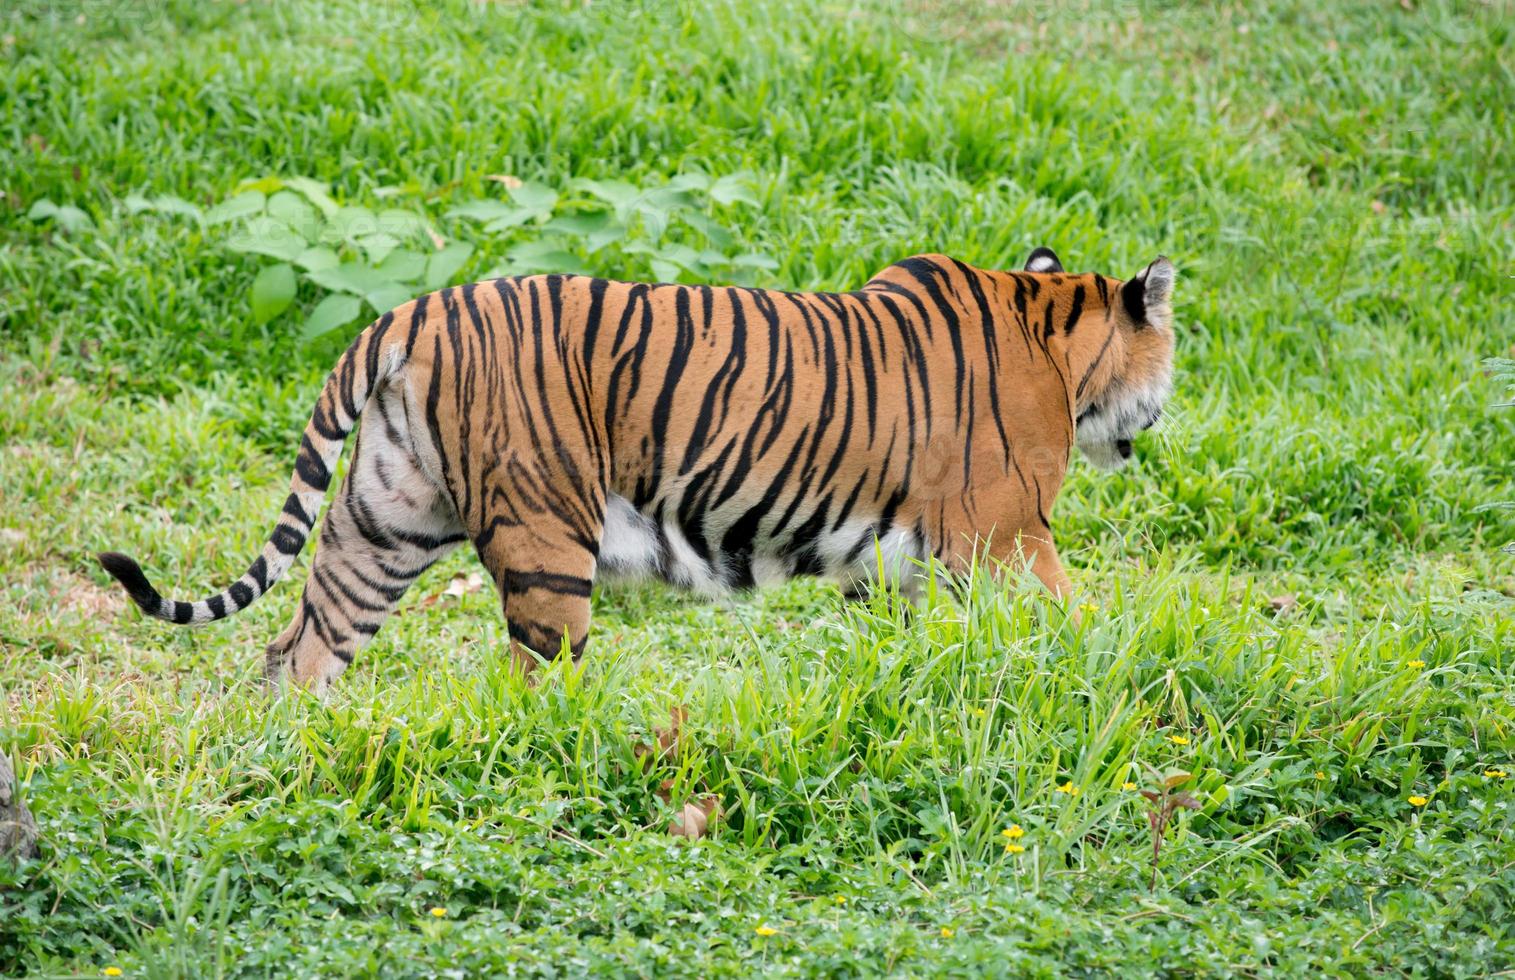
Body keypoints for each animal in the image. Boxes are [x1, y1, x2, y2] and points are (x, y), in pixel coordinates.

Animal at [100, 246, 1175, 690]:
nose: (1158, 420)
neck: (1054, 337)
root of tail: (416, 309)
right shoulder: (1007, 535)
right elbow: (1070, 615)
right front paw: (1112, 662)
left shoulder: (898, 555)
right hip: (545, 542)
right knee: (534, 678)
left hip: (385, 520)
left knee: (302, 646)